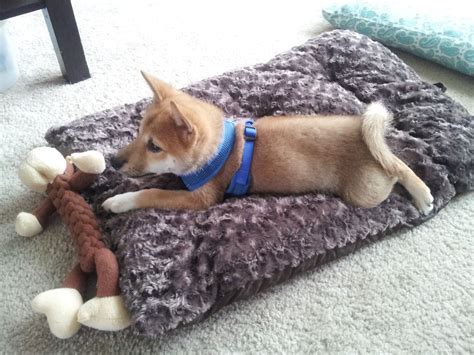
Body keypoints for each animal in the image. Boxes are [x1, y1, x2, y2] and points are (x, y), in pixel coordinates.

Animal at [103, 72, 434, 214]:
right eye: (137, 133)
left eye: (155, 146)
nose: (113, 161)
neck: (222, 147)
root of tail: (365, 136)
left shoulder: (201, 198)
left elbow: (152, 192)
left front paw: (120, 201)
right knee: (396, 160)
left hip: (363, 192)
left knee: (396, 171)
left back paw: (420, 193)